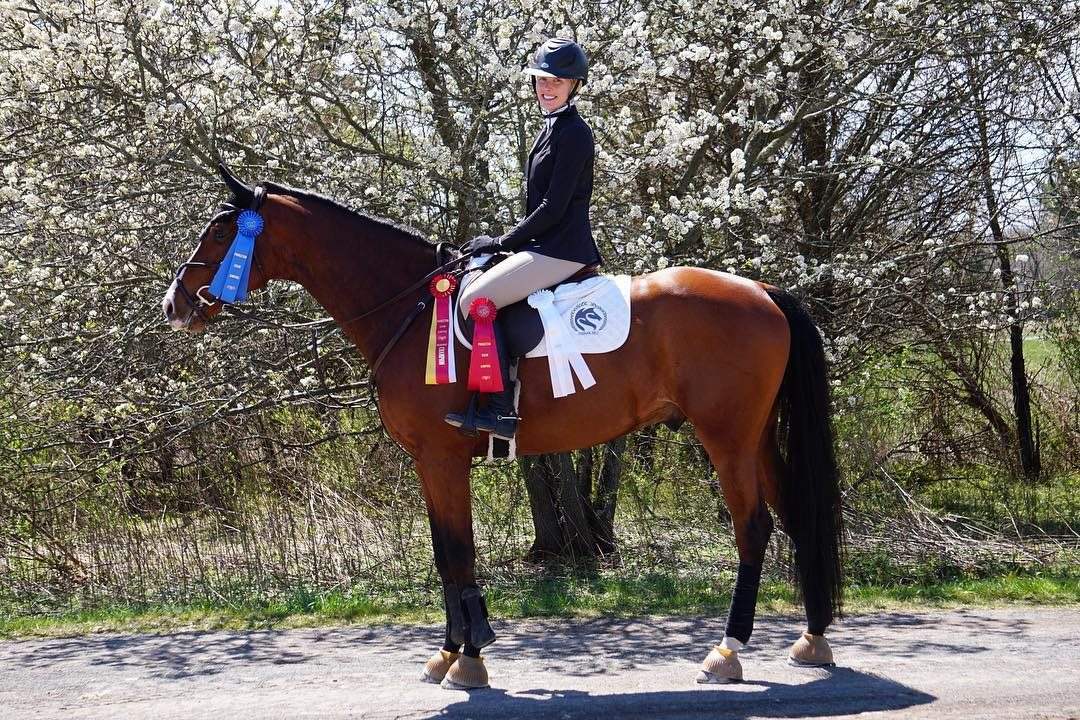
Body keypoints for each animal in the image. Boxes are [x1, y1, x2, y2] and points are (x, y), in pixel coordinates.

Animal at [162, 164, 844, 689]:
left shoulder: (441, 456)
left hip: (725, 437)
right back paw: (812, 641)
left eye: (222, 230)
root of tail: (763, 290)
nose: (175, 303)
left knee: (754, 528)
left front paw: (469, 659)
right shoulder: (429, 462)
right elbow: (446, 554)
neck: (412, 308)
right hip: (755, 437)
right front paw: (447, 655)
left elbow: (457, 553)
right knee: (796, 515)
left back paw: (726, 652)